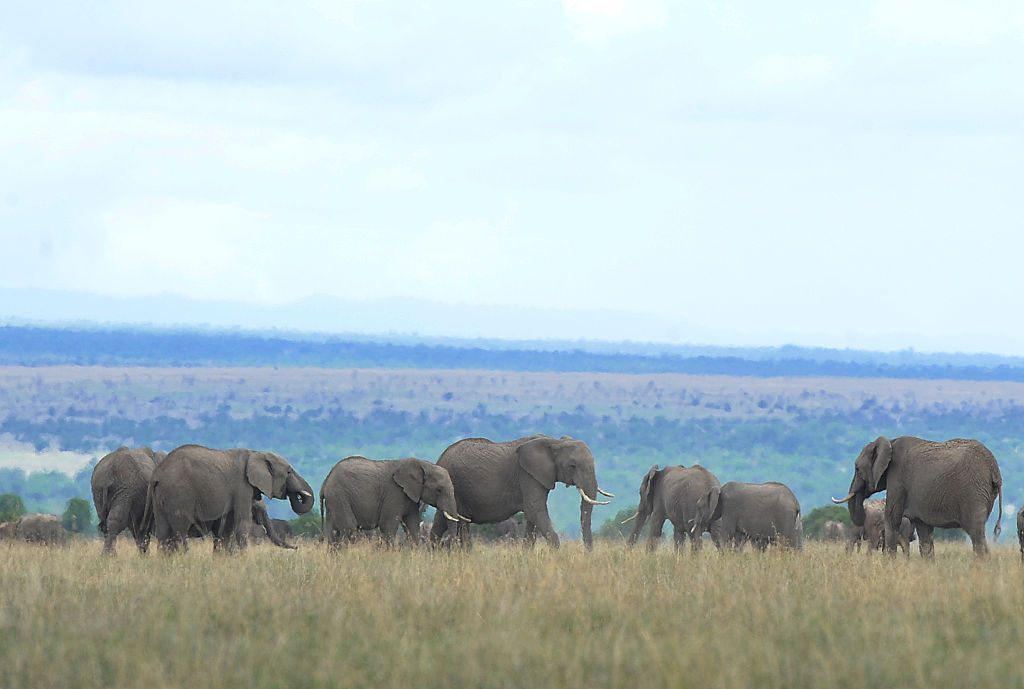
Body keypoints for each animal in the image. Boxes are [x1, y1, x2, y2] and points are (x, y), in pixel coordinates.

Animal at [319, 456, 468, 548]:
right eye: (439, 490)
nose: (446, 541)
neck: (423, 465)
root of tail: (325, 481)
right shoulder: (394, 493)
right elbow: (388, 526)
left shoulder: (411, 497)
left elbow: (413, 527)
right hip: (339, 495)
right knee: (349, 529)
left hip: (334, 501)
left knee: (333, 532)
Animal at [428, 436, 610, 548]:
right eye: (573, 466)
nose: (588, 553)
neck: (554, 442)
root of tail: (440, 458)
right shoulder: (527, 475)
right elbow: (535, 509)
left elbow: (532, 515)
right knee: (461, 524)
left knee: (440, 523)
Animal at [831, 438, 999, 556]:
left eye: (857, 469)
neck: (890, 441)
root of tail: (993, 469)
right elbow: (924, 534)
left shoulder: (897, 478)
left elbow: (892, 517)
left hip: (973, 491)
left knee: (976, 535)